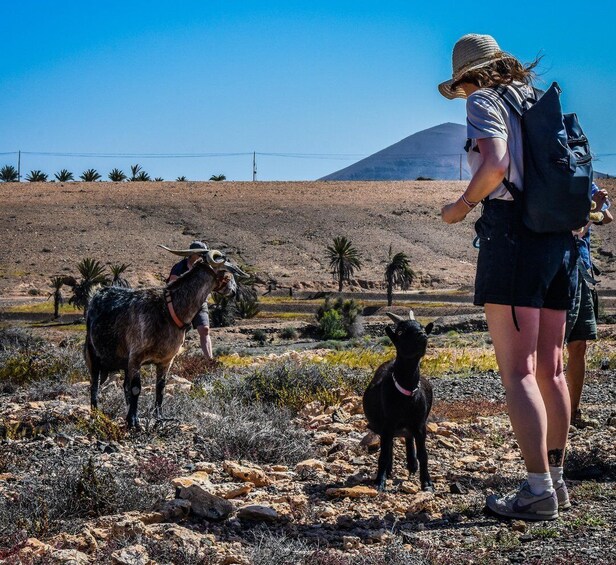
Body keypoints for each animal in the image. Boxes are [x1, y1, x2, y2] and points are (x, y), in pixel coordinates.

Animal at [85, 247, 244, 428]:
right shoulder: (136, 357)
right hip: (93, 355)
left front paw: (159, 417)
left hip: (122, 363)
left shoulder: (165, 361)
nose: (235, 292)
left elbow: (160, 388)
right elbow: (136, 389)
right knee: (94, 385)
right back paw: (96, 414)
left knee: (122, 385)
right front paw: (134, 422)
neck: (168, 309)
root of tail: (96, 294)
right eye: (228, 274)